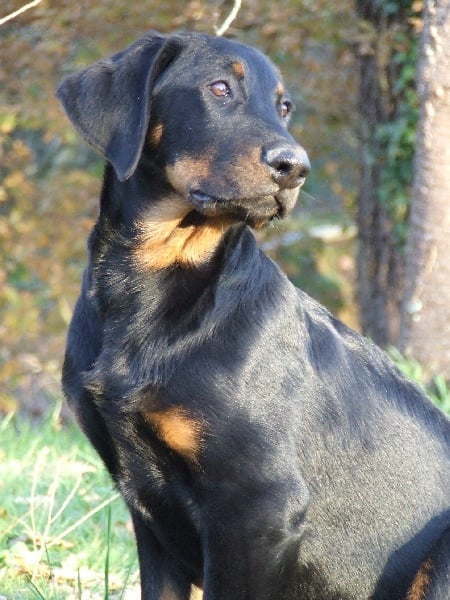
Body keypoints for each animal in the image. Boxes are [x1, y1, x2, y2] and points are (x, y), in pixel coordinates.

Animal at [58, 32, 450, 600]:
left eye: (284, 107)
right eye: (220, 87)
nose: (296, 167)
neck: (152, 289)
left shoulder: (257, 505)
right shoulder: (147, 511)